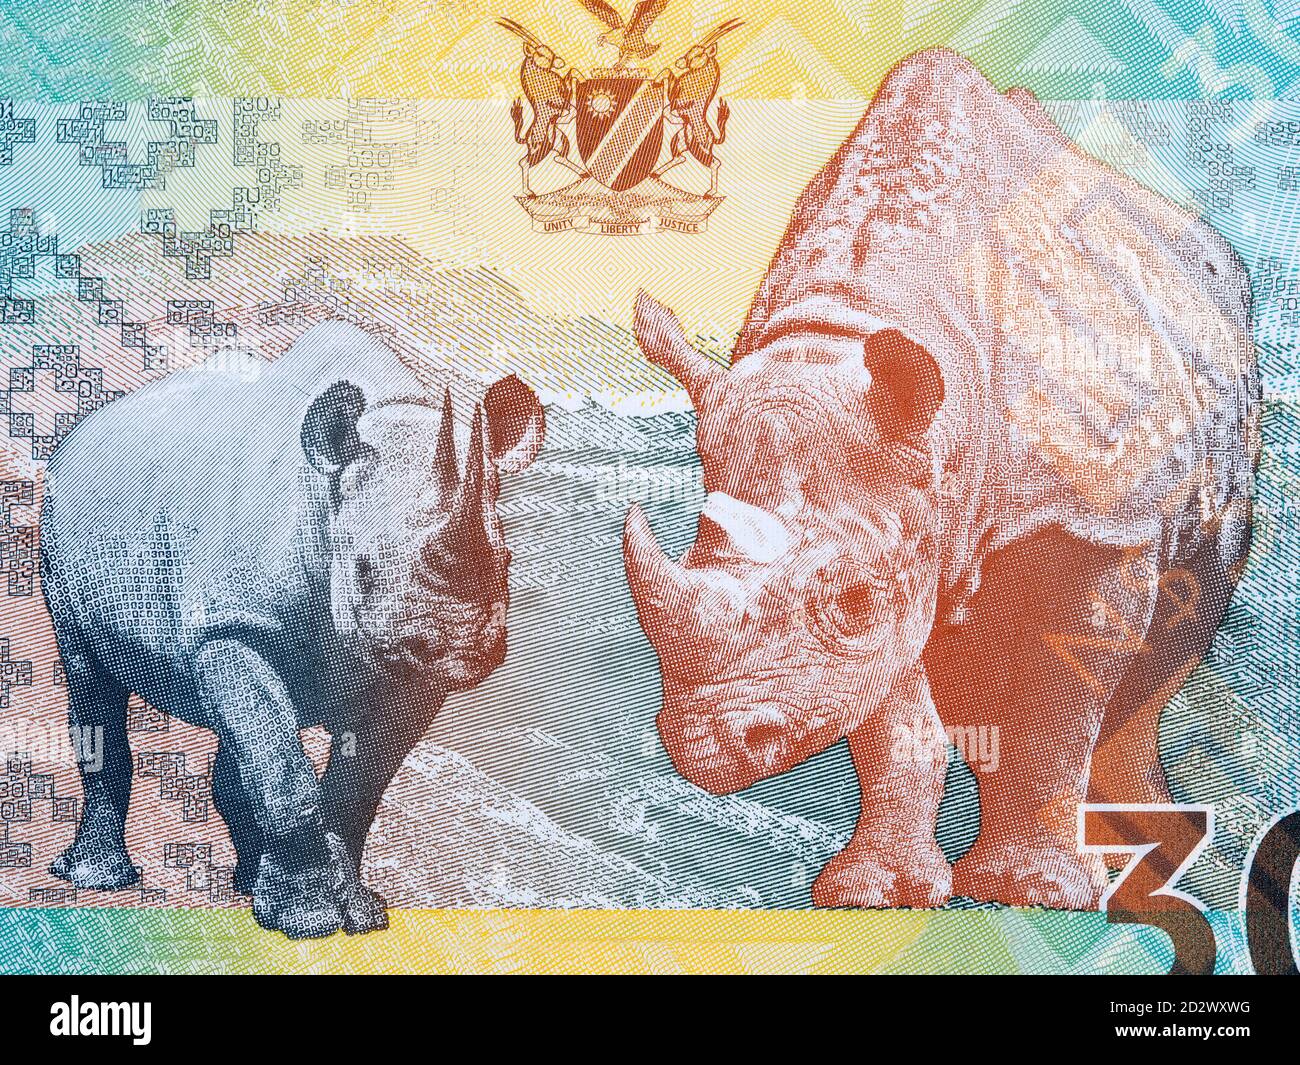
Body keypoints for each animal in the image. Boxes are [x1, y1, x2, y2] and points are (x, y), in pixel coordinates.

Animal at [40, 320, 544, 937]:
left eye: (507, 562)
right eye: (363, 567)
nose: (460, 647)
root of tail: (79, 433)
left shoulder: (408, 674)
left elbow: (355, 792)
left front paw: (358, 914)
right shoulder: (231, 626)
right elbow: (285, 776)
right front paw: (308, 922)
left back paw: (245, 886)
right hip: (57, 532)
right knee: (91, 678)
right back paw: (98, 880)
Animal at [624, 50, 1259, 909]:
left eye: (852, 600)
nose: (707, 752)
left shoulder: (1099, 524)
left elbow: (1057, 712)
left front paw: (1037, 891)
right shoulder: (905, 515)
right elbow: (895, 720)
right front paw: (877, 893)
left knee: (1172, 645)